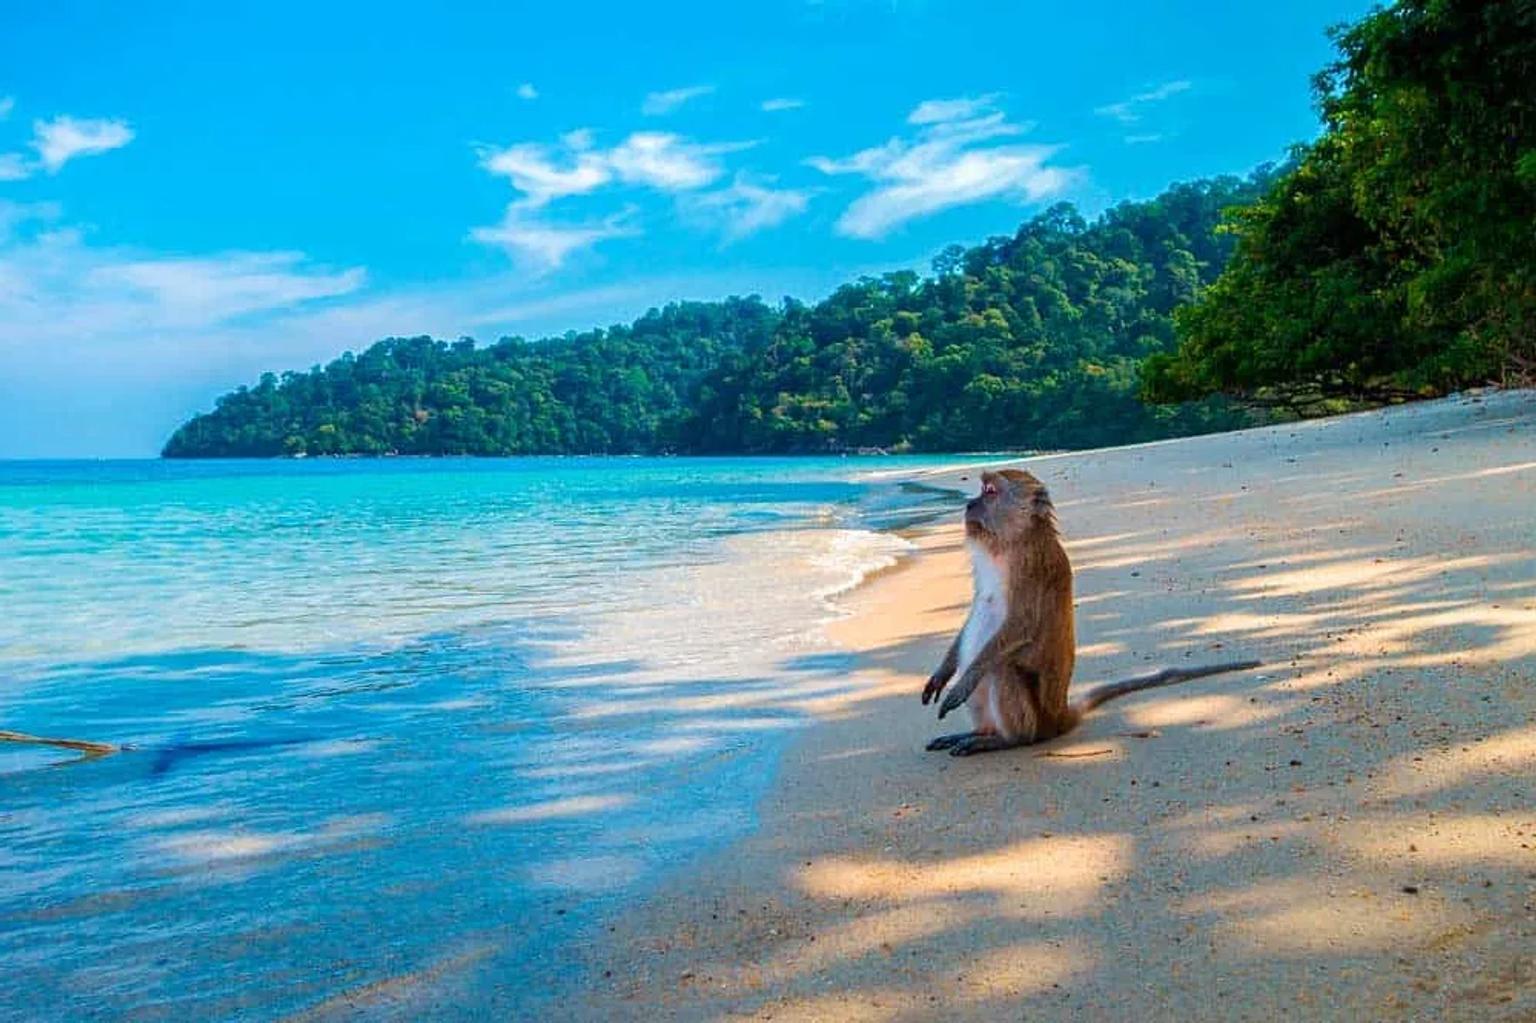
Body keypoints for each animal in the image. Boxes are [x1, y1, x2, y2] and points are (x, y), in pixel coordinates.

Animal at [919, 469, 1259, 756]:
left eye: (990, 492)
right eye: (981, 491)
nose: (968, 504)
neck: (1010, 541)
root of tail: (1059, 717)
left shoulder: (1030, 566)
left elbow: (1021, 626)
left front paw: (963, 682)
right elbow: (977, 608)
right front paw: (942, 674)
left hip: (1036, 720)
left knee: (1001, 668)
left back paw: (1005, 739)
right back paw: (979, 733)